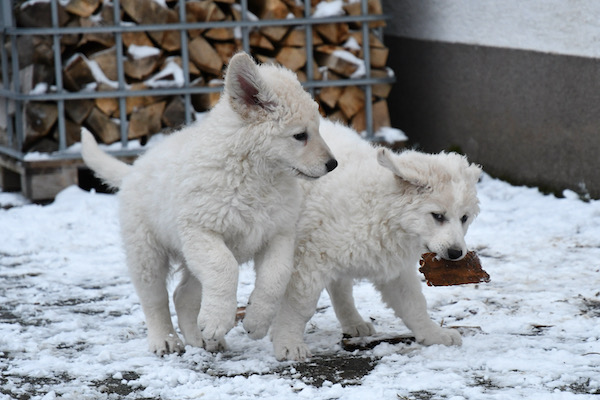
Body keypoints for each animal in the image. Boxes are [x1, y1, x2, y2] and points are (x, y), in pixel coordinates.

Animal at [81, 51, 338, 354]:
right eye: (300, 135)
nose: (333, 164)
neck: (255, 175)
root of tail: (133, 169)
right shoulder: (202, 230)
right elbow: (224, 268)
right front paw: (217, 321)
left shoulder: (279, 233)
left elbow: (276, 277)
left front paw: (256, 321)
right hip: (146, 251)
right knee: (155, 298)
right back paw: (166, 339)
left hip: (189, 257)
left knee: (183, 294)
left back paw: (201, 338)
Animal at [270, 120, 480, 360]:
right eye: (437, 216)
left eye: (464, 218)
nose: (456, 253)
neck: (382, 210)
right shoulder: (311, 260)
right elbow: (299, 305)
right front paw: (289, 343)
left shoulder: (393, 267)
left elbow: (413, 303)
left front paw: (433, 334)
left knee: (339, 287)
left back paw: (353, 322)